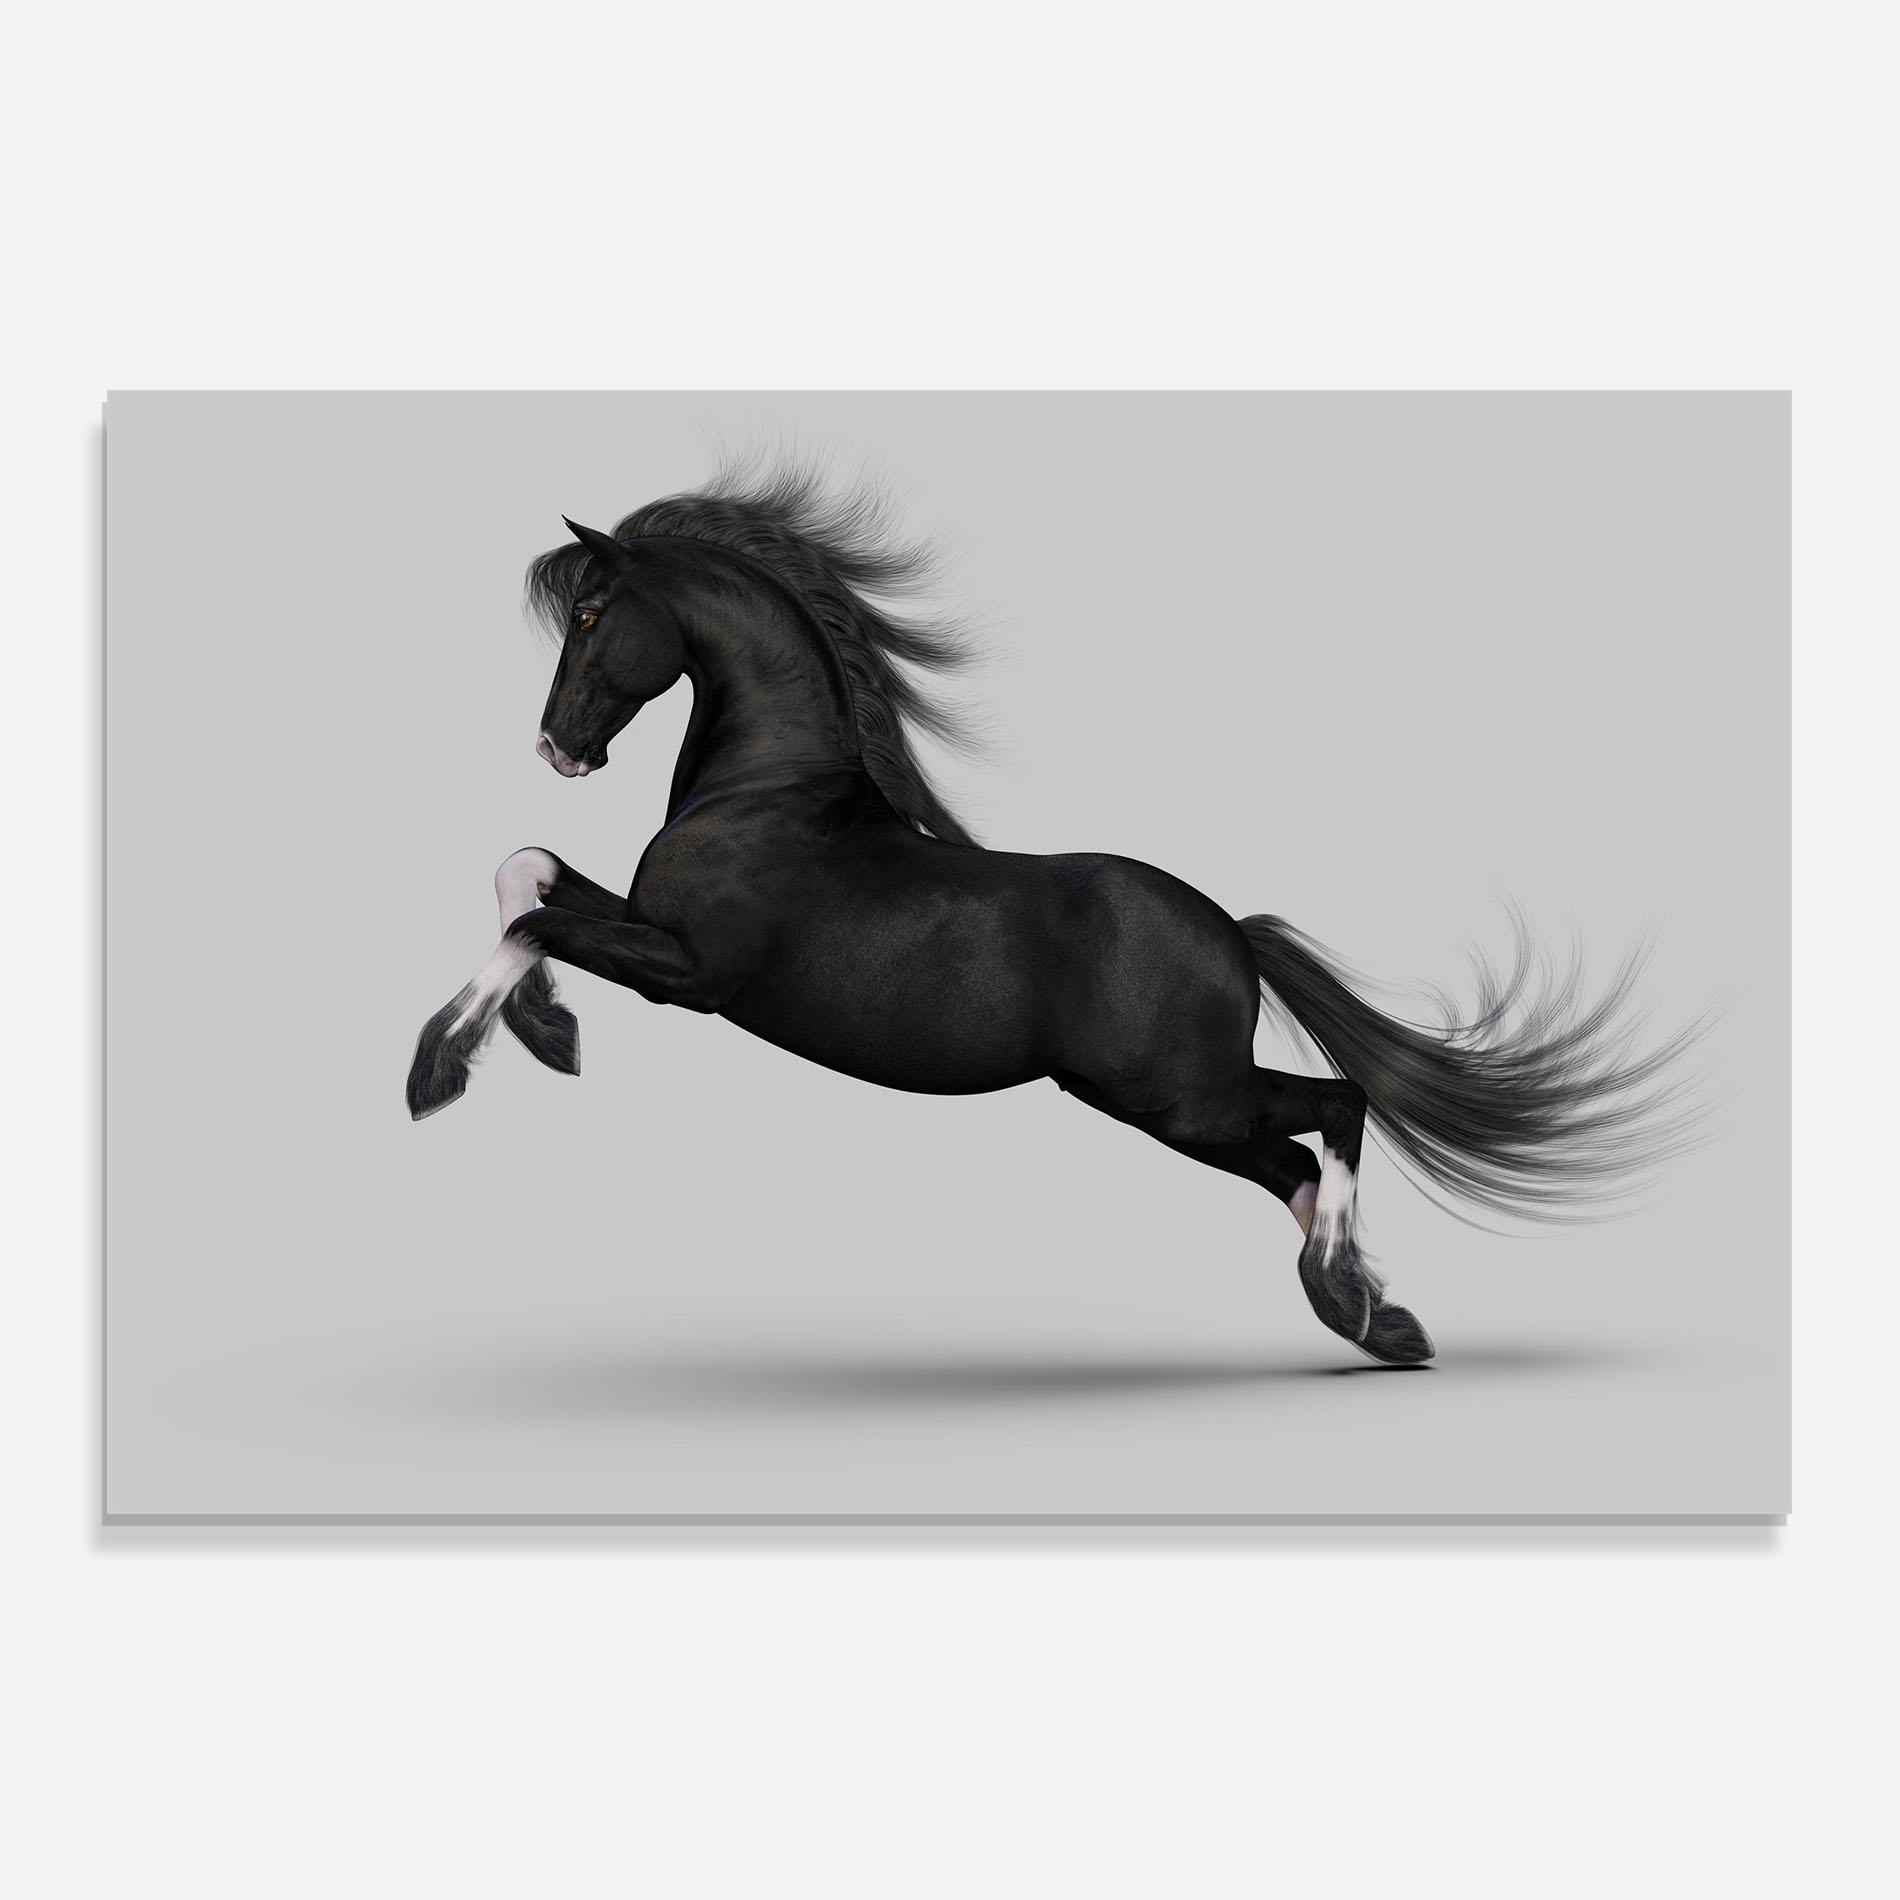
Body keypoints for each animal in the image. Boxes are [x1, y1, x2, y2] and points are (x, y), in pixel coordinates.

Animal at [405, 466, 1705, 1365]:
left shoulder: (690, 971)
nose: (556, 748)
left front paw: (448, 1067)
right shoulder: (653, 935)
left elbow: (530, 914)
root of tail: (1229, 930)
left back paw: (1354, 1300)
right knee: (1292, 1159)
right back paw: (1376, 1318)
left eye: (591, 611)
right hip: (1163, 1105)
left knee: (1335, 1109)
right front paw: (546, 1030)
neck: (773, 789)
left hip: (1174, 1094)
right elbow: (524, 870)